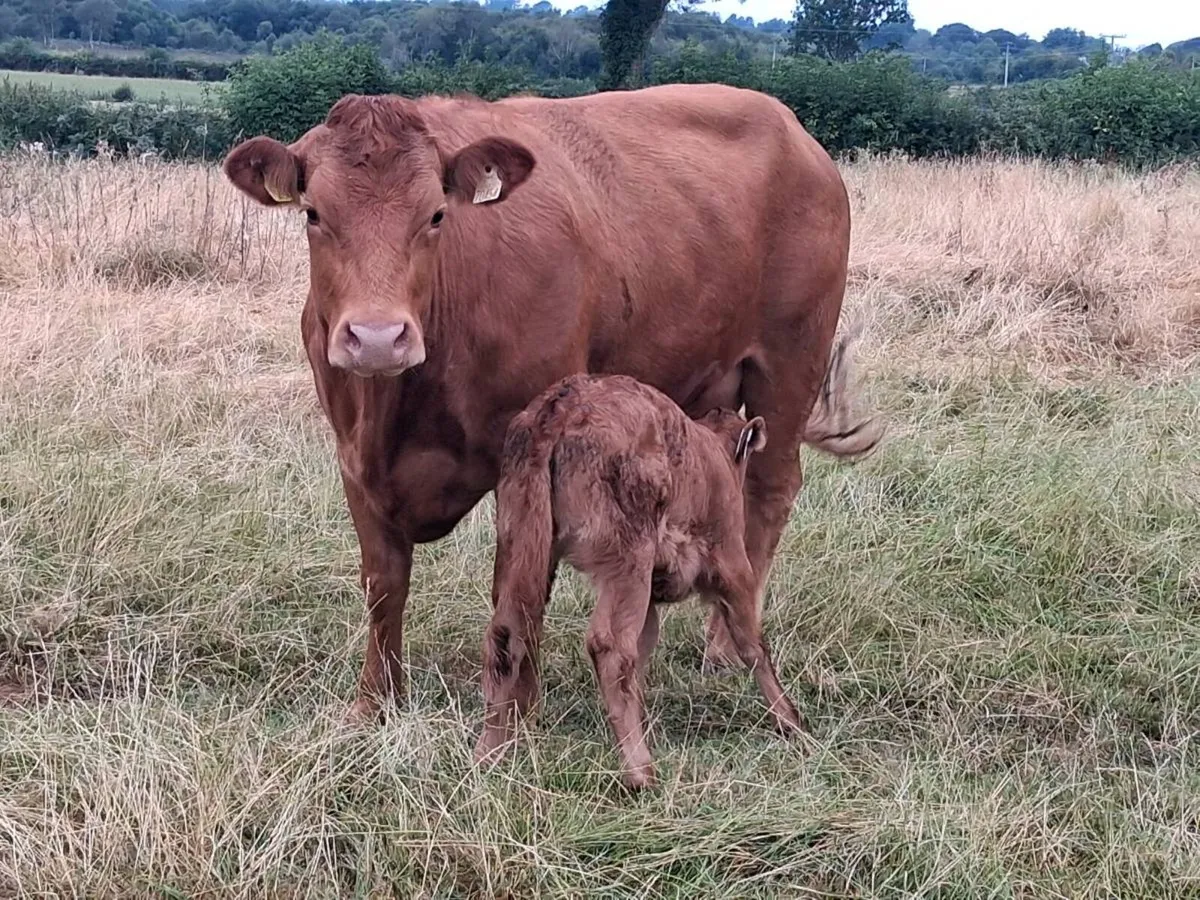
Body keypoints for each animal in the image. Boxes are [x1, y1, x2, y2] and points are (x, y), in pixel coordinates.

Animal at [220, 82, 883, 724]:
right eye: (313, 213)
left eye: (436, 215)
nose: (378, 337)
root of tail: (788, 124)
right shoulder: (354, 457)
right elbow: (384, 585)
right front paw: (373, 706)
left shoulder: (528, 459)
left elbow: (519, 587)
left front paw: (517, 712)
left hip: (789, 363)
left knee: (768, 494)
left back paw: (724, 646)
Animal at [474, 373, 807, 790]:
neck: (712, 458)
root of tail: (560, 407)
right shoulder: (733, 567)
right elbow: (753, 645)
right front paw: (792, 721)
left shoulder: (652, 593)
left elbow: (646, 645)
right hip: (628, 558)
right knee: (610, 647)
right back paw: (640, 772)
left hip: (522, 541)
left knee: (507, 634)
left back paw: (488, 754)